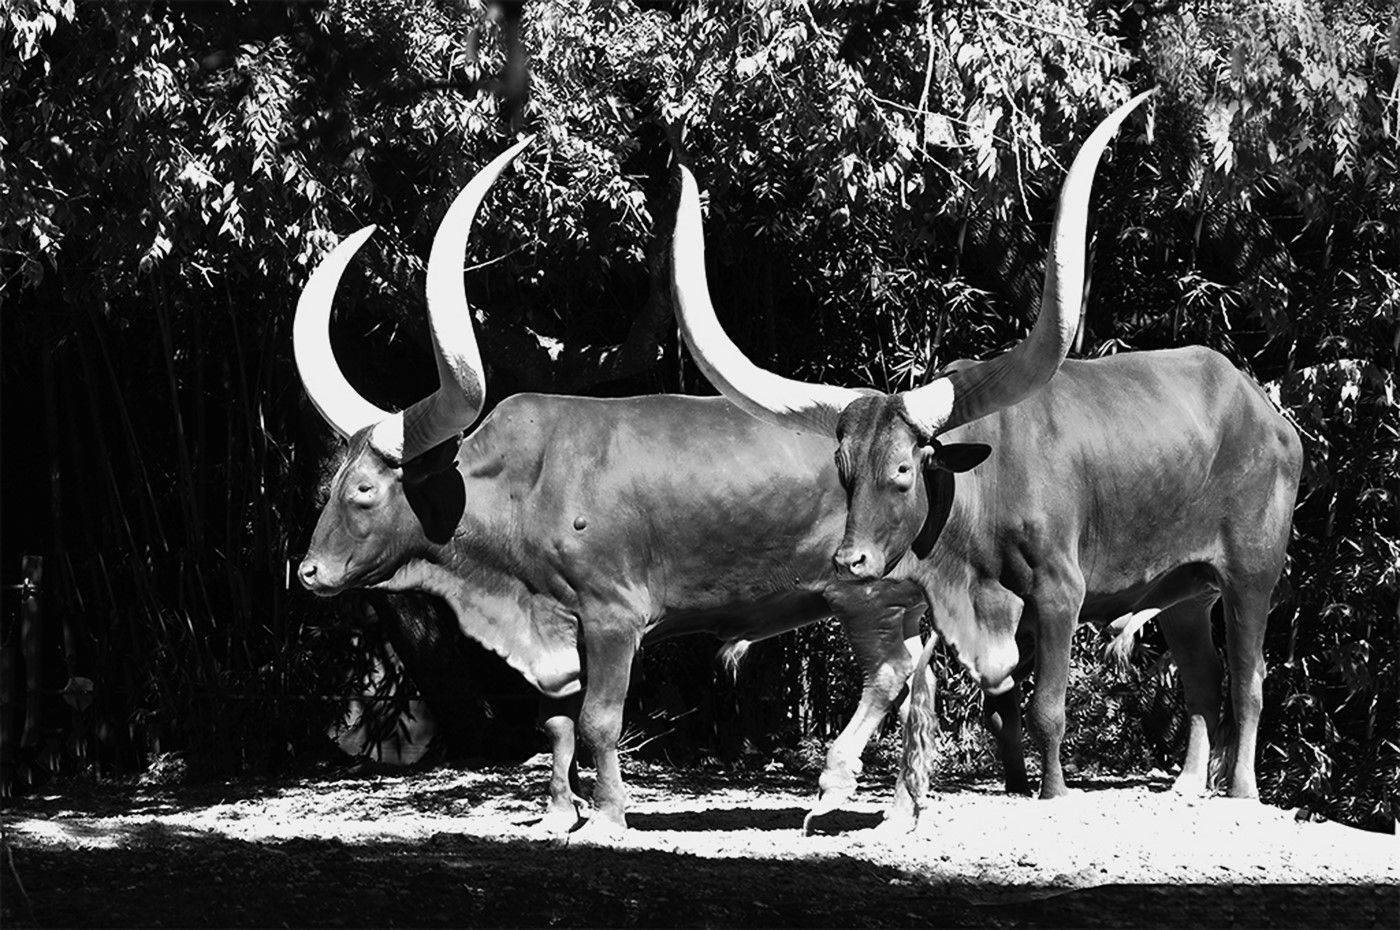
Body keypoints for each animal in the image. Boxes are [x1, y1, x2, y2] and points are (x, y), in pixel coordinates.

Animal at [294, 140, 935, 840]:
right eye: (330, 483)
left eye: (363, 489)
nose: (309, 572)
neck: (524, 487)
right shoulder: (556, 631)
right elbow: (556, 724)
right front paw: (556, 813)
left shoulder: (612, 617)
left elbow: (599, 719)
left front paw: (606, 815)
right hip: (903, 604)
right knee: (920, 685)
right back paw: (902, 811)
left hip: (864, 594)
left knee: (891, 675)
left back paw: (833, 790)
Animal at [666, 88, 1299, 829]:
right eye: (843, 471)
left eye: (904, 471)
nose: (849, 562)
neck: (979, 493)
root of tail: (1267, 413)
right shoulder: (983, 609)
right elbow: (1000, 712)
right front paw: (1017, 786)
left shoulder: (1058, 592)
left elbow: (1047, 707)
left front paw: (1052, 793)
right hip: (1185, 588)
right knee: (1200, 676)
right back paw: (1187, 785)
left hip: (1252, 571)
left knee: (1249, 678)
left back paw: (1241, 790)